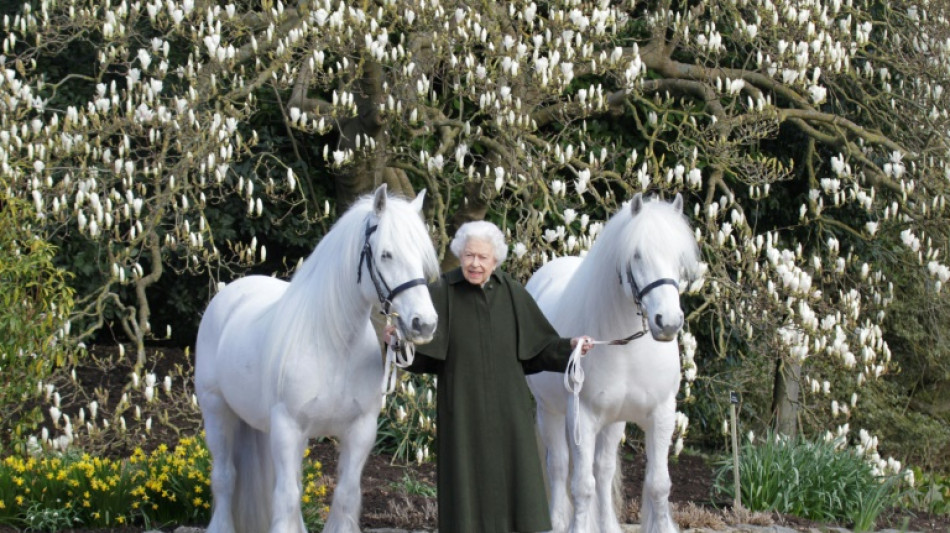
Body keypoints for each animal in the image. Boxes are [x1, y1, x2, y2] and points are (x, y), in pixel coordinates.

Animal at [199, 184, 444, 532]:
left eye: (422, 258)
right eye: (386, 254)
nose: (424, 324)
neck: (333, 345)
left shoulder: (360, 430)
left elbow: (344, 495)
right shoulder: (288, 427)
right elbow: (286, 497)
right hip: (217, 410)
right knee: (224, 477)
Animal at [528, 193, 708, 532]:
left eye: (679, 256)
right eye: (636, 254)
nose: (668, 322)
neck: (626, 348)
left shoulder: (661, 414)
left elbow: (658, 484)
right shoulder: (581, 417)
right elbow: (581, 485)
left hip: (613, 421)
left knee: (603, 469)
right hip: (550, 412)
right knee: (558, 465)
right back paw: (557, 521)